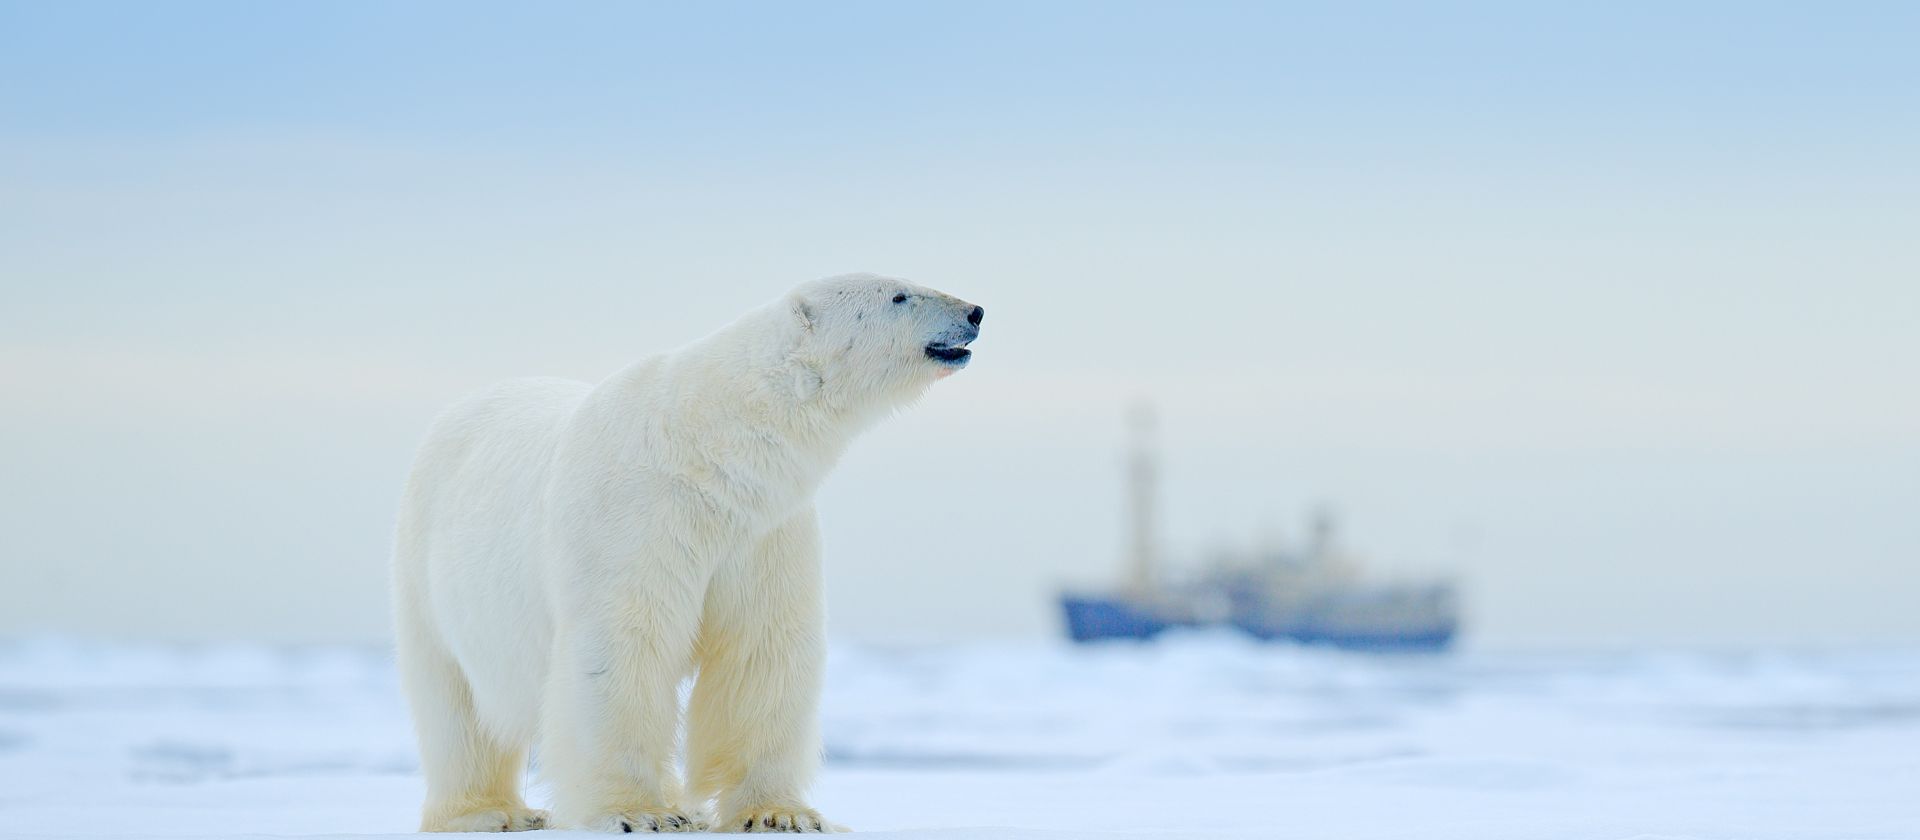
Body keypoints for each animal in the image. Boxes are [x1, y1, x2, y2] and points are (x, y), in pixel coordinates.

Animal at [389, 274, 983, 833]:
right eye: (898, 295)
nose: (975, 311)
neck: (707, 448)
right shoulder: (636, 516)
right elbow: (623, 644)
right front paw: (638, 812)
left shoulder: (764, 529)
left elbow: (762, 647)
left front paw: (780, 814)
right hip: (430, 570)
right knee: (454, 704)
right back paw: (489, 812)